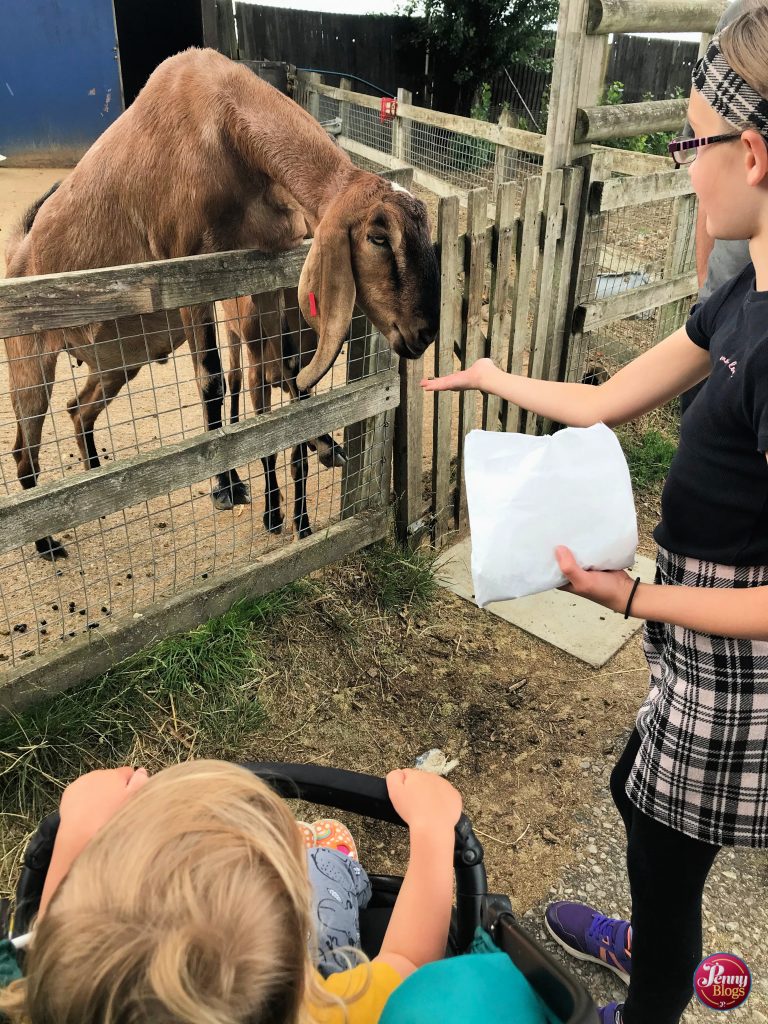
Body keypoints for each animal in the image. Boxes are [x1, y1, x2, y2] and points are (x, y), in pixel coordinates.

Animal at [4, 48, 438, 561]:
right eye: (378, 237)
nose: (424, 332)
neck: (221, 120)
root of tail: (19, 252)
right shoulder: (188, 270)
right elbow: (211, 379)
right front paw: (226, 487)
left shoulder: (264, 272)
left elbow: (286, 382)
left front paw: (314, 457)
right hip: (31, 360)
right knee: (25, 448)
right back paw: (46, 540)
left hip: (120, 357)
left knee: (79, 408)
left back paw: (93, 478)